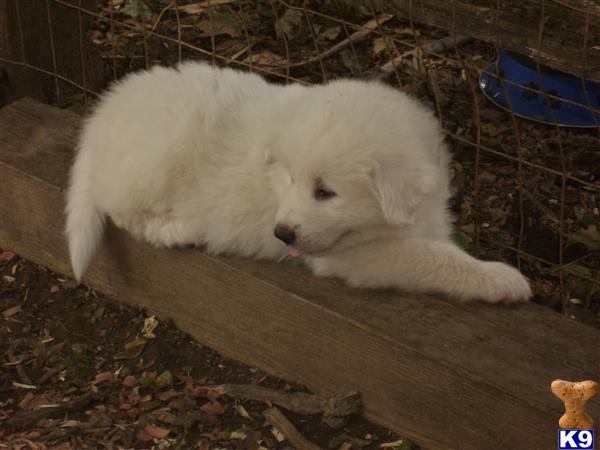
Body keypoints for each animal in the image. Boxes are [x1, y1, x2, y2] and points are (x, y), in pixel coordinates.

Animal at [65, 61, 532, 304]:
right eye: (291, 180)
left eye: (325, 192)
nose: (282, 233)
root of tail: (101, 114)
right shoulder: (356, 257)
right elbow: (435, 259)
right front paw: (503, 279)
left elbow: (438, 244)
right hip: (156, 158)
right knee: (122, 210)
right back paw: (174, 229)